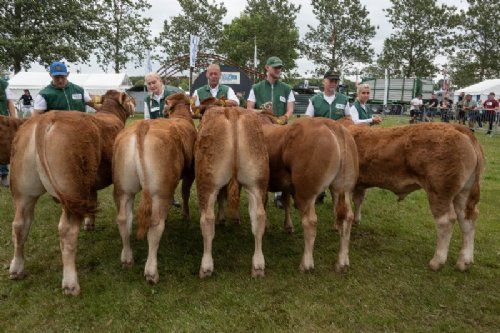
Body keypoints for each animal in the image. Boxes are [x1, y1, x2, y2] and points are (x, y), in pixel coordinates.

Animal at [9, 90, 135, 294]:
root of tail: (47, 118)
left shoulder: (90, 184)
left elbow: (93, 198)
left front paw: (89, 223)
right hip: (72, 187)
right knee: (67, 231)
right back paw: (70, 284)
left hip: (23, 191)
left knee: (20, 225)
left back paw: (16, 268)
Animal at [112, 92, 196, 282]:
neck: (181, 116)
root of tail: (142, 126)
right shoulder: (190, 173)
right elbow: (185, 192)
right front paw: (185, 214)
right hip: (160, 192)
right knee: (155, 225)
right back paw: (151, 272)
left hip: (123, 188)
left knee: (124, 219)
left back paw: (127, 259)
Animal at [194, 105, 270, 276]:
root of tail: (233, 111)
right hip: (257, 181)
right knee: (259, 217)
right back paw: (258, 265)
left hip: (207, 181)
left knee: (207, 220)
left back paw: (206, 266)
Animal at [258, 110, 360, 272]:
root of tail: (332, 125)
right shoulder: (286, 184)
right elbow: (286, 202)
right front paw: (288, 226)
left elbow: (265, 203)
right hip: (343, 187)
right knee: (347, 217)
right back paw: (342, 262)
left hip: (306, 190)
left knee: (310, 221)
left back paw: (306, 263)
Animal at [348, 121, 484, 270]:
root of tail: (457, 127)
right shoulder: (359, 185)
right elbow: (358, 200)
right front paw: (356, 220)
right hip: (464, 192)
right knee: (467, 218)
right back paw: (464, 262)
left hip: (439, 191)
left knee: (446, 220)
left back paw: (437, 261)